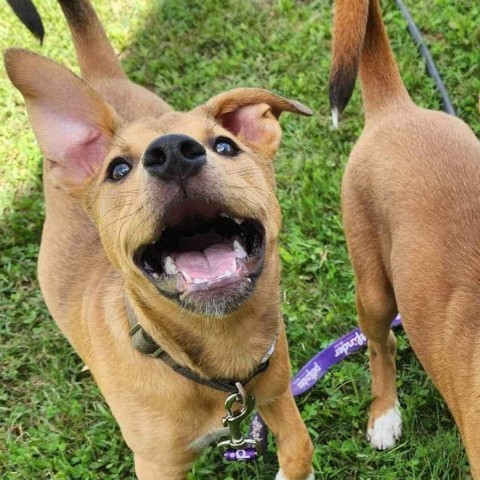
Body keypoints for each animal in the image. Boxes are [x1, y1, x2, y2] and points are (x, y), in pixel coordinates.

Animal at [3, 1, 316, 478]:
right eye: (117, 170)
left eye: (225, 146)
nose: (171, 154)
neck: (220, 358)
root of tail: (102, 79)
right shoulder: (156, 463)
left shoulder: (277, 391)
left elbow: (299, 447)